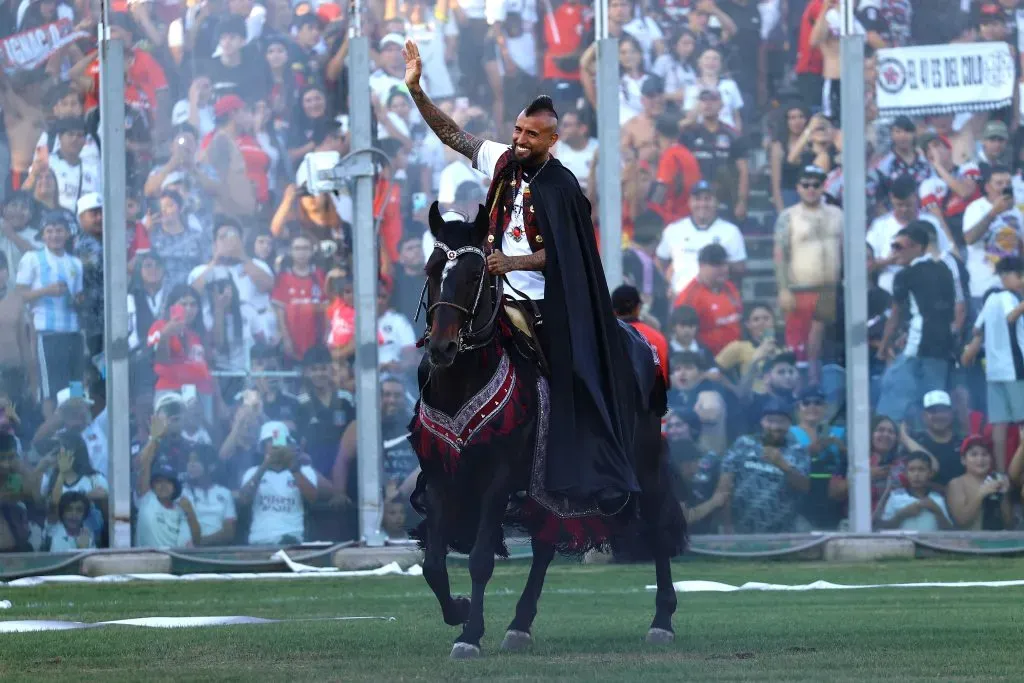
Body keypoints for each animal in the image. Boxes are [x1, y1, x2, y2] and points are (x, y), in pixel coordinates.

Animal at [403, 204, 684, 663]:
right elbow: (433, 564)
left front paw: (470, 634)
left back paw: (662, 621)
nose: (442, 348)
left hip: (642, 459)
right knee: (545, 544)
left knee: (658, 526)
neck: (464, 378)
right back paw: (519, 625)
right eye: (431, 268)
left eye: (475, 275)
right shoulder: (444, 475)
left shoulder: (498, 477)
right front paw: (458, 611)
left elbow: (480, 558)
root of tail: (637, 339)